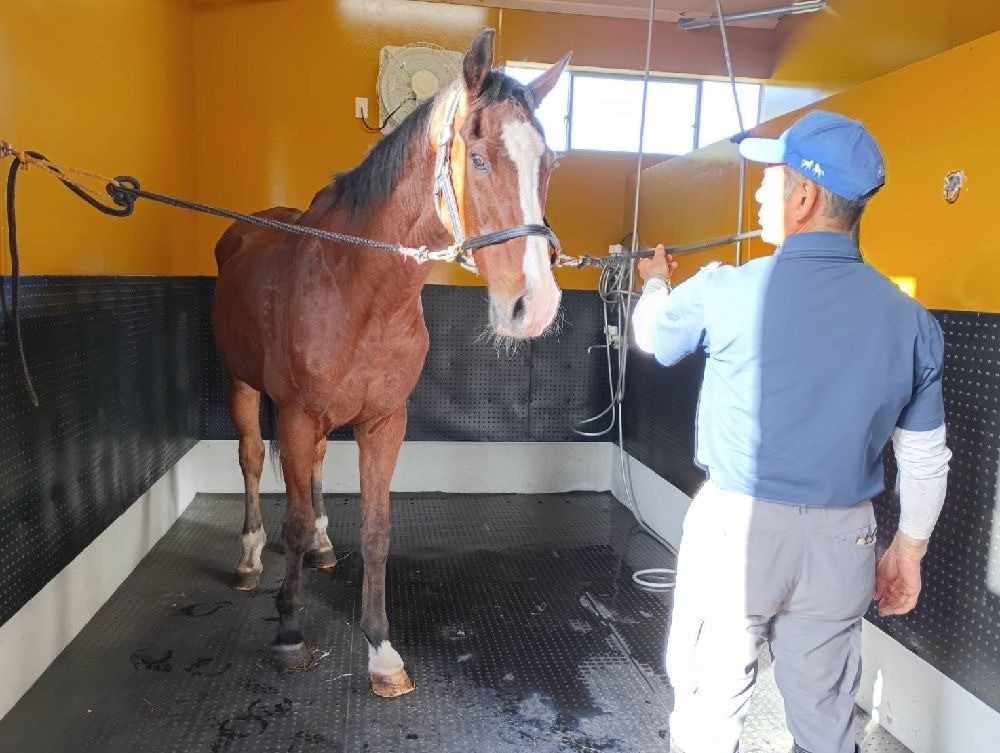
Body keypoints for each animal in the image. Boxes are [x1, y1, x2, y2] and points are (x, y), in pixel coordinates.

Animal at [211, 29, 570, 698]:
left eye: (549, 165)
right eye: (478, 158)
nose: (533, 307)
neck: (362, 289)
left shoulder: (383, 422)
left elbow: (376, 533)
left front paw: (381, 650)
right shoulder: (296, 416)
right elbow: (291, 522)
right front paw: (290, 632)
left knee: (314, 473)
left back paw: (324, 545)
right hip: (243, 386)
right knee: (249, 461)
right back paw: (248, 558)